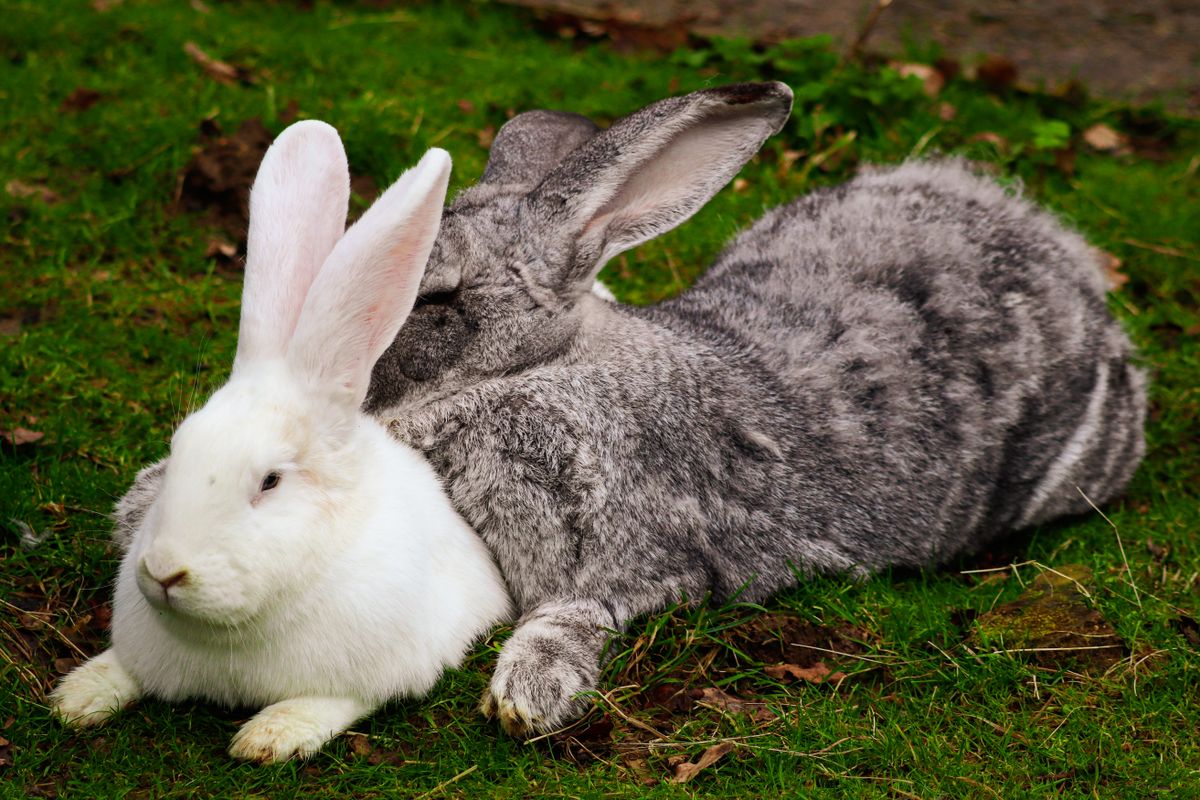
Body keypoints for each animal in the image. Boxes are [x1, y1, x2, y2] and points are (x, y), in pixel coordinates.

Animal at [51, 120, 511, 763]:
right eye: (178, 450)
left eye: (270, 481)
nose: (165, 573)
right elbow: (127, 668)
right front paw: (78, 695)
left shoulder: (385, 660)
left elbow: (335, 700)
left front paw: (272, 734)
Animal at [112, 82, 1147, 739]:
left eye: (438, 298)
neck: (538, 368)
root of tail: (1064, 258)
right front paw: (142, 500)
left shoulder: (656, 557)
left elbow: (582, 608)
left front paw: (528, 694)